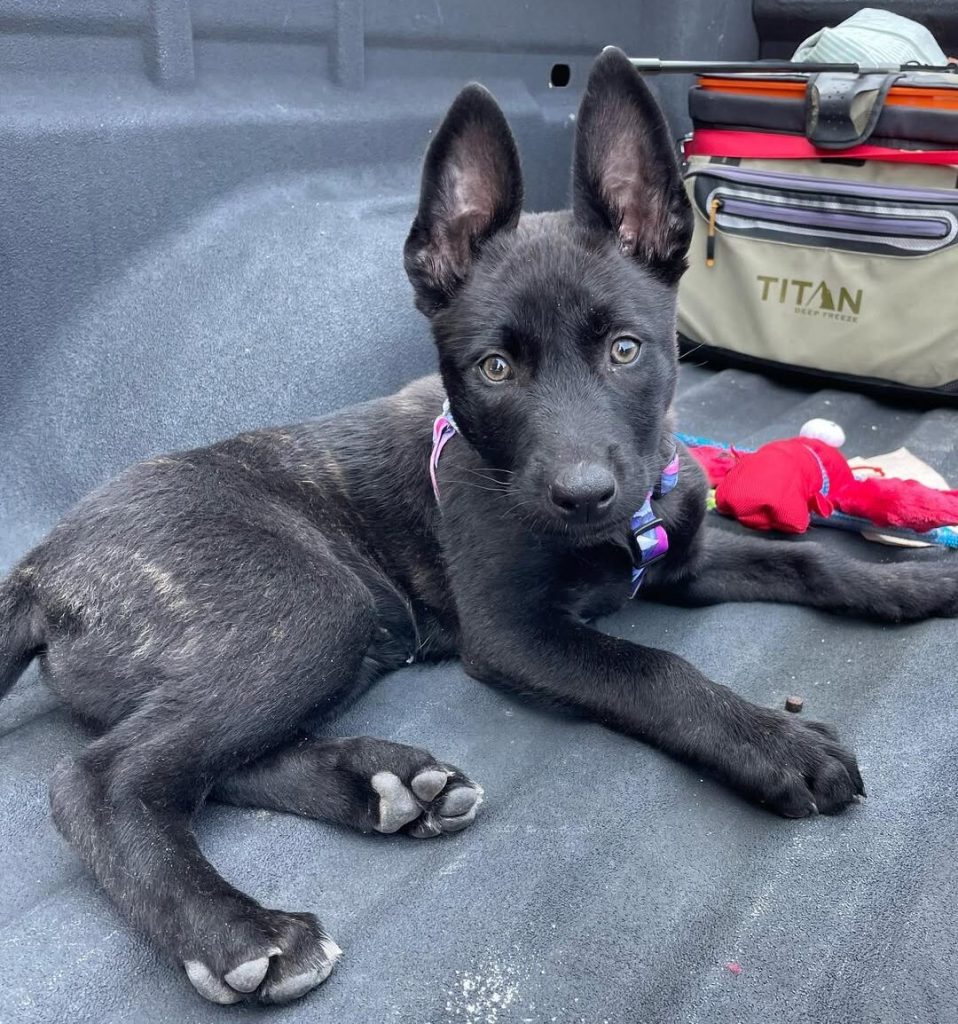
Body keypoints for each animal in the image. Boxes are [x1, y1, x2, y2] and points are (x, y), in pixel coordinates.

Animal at [1, 47, 955, 1006]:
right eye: (494, 369)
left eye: (625, 350)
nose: (584, 494)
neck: (617, 526)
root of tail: (42, 567)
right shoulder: (513, 632)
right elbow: (655, 670)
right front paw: (773, 742)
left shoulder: (679, 559)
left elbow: (808, 564)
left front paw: (915, 582)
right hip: (312, 605)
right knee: (105, 777)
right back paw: (238, 927)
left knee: (206, 763)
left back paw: (386, 785)